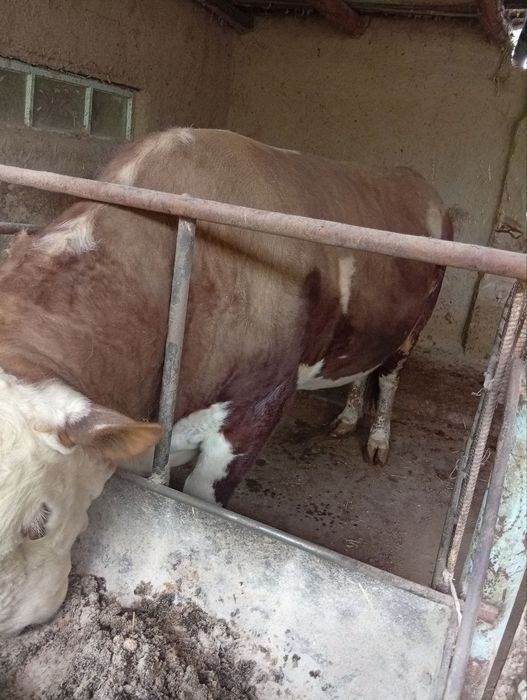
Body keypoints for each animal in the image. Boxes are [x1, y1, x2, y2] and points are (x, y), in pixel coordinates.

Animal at [0, 128, 451, 635]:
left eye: (39, 522)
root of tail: (410, 177)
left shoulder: (259, 404)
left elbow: (202, 499)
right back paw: (347, 418)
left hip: (415, 324)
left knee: (390, 376)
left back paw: (377, 439)